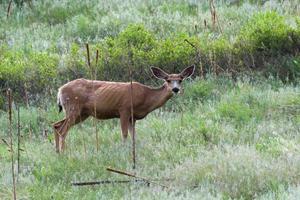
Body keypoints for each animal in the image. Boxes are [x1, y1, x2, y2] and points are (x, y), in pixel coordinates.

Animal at [52, 65, 196, 152]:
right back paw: (64, 153)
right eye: (168, 80)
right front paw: (123, 150)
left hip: (82, 113)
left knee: (56, 125)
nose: (175, 89)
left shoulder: (133, 117)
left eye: (180, 80)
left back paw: (57, 152)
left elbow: (134, 135)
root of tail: (60, 90)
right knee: (62, 130)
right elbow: (125, 134)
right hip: (73, 108)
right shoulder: (124, 109)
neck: (146, 97)